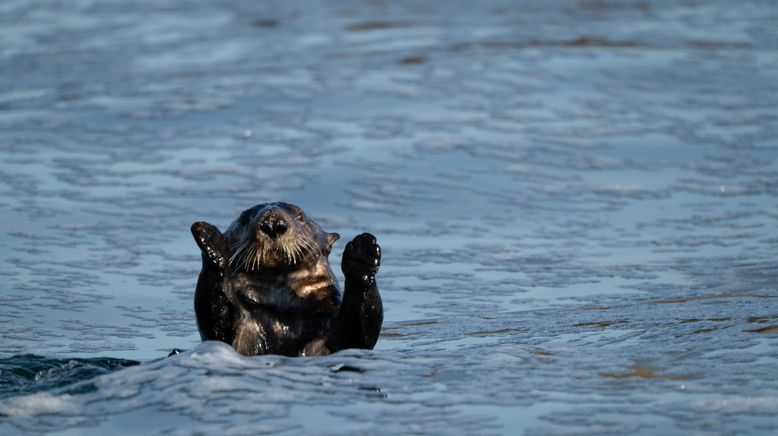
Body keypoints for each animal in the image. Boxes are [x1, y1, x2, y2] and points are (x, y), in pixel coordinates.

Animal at [189, 203, 380, 356]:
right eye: (243, 219)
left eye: (300, 216)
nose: (273, 223)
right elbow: (215, 328)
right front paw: (211, 241)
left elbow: (356, 337)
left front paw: (363, 252)